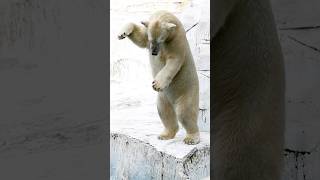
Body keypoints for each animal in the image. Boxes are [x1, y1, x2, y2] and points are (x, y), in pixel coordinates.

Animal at [117, 10, 200, 145]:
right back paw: (165, 134)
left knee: (185, 112)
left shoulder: (177, 41)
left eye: (161, 39)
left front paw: (157, 84)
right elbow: (141, 38)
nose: (154, 52)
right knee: (164, 111)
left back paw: (191, 138)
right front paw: (122, 33)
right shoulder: (148, 34)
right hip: (163, 98)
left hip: (188, 92)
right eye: (151, 39)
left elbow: (173, 61)